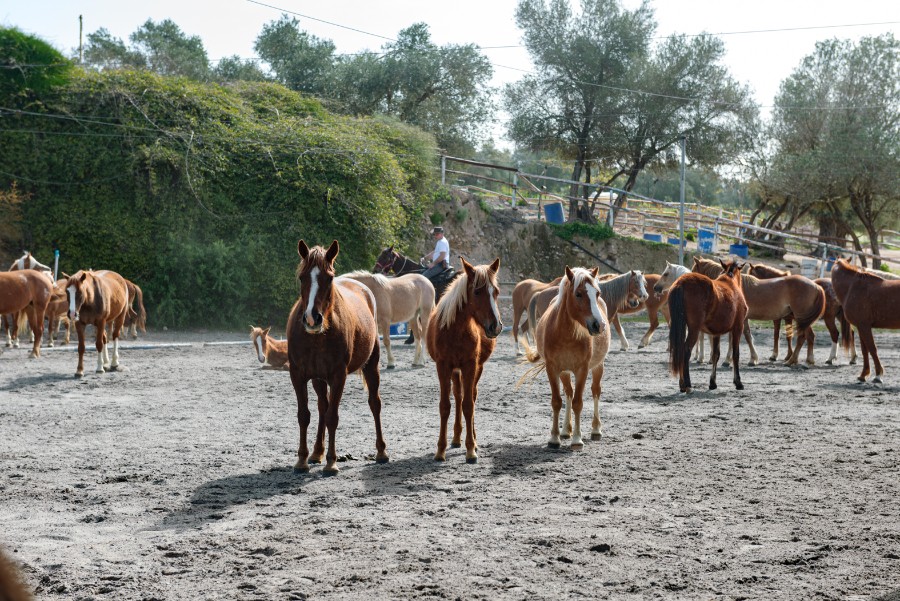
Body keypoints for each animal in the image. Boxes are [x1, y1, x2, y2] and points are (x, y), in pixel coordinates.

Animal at [286, 239, 388, 474]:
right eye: (302, 277)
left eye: (329, 277)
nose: (312, 319)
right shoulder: (298, 375)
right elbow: (304, 415)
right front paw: (302, 460)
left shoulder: (338, 376)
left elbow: (333, 417)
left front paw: (331, 462)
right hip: (318, 379)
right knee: (322, 407)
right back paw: (316, 453)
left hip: (372, 366)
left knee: (374, 403)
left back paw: (381, 452)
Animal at [426, 255, 502, 462]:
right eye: (477, 291)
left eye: (496, 292)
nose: (495, 326)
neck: (455, 330)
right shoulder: (443, 366)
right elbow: (445, 406)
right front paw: (440, 450)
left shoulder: (470, 365)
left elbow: (469, 406)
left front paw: (471, 449)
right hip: (455, 371)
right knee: (458, 396)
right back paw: (456, 438)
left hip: (477, 368)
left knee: (471, 397)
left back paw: (472, 439)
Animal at [520, 264, 612, 448]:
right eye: (578, 294)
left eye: (597, 293)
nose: (599, 325)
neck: (566, 335)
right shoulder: (552, 368)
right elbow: (557, 401)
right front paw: (554, 438)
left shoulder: (582, 370)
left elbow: (578, 403)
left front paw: (577, 439)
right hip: (564, 372)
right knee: (568, 392)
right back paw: (565, 430)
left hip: (598, 366)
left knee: (595, 391)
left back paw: (596, 429)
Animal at [664, 258, 748, 394]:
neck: (731, 281)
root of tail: (680, 283)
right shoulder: (738, 328)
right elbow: (736, 354)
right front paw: (738, 382)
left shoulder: (717, 333)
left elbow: (715, 355)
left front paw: (712, 382)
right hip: (694, 329)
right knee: (686, 350)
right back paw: (687, 384)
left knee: (680, 350)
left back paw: (682, 384)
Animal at [692, 254, 828, 366]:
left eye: (693, 271)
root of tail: (816, 286)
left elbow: (744, 336)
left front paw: (746, 359)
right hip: (803, 320)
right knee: (809, 336)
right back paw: (807, 360)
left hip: (801, 318)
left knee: (803, 337)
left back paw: (792, 361)